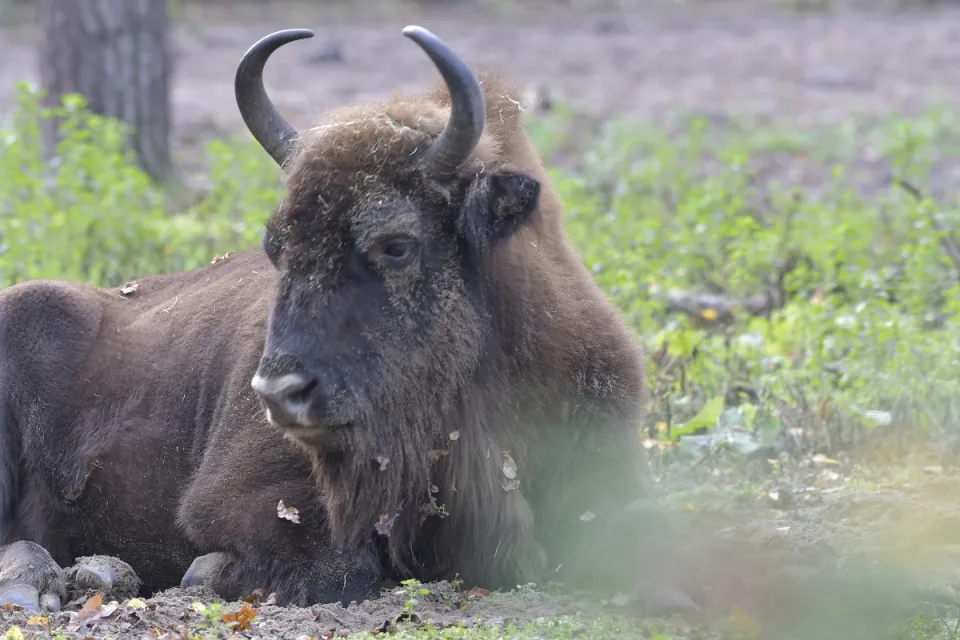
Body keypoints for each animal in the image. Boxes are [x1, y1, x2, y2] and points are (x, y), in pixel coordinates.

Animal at [0, 25, 649, 610]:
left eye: (396, 244)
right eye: (276, 245)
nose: (280, 392)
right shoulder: (239, 497)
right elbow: (339, 571)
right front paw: (202, 574)